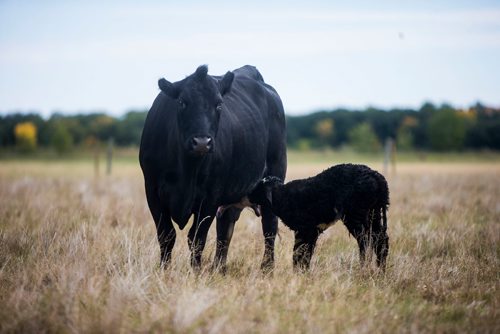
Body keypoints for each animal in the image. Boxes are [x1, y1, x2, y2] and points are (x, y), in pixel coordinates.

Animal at [141, 65, 288, 272]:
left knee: (269, 226)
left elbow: (197, 238)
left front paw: (194, 272)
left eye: (218, 105)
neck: (187, 169)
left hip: (274, 177)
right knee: (225, 227)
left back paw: (267, 268)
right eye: (182, 102)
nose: (202, 142)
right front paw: (164, 271)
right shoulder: (152, 191)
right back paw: (218, 268)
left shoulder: (211, 196)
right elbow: (166, 235)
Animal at [250, 163, 390, 270]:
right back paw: (380, 270)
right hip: (374, 213)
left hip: (356, 215)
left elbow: (300, 254)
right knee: (380, 240)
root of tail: (379, 179)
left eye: (259, 187)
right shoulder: (311, 231)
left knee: (365, 242)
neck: (282, 196)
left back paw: (363, 268)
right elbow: (303, 254)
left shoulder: (305, 229)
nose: (249, 193)